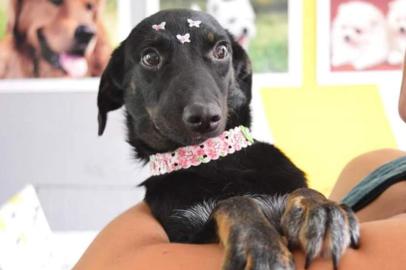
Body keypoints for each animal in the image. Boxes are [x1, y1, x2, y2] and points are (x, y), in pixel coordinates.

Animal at [97, 9, 358, 268]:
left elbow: (304, 191)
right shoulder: (187, 232)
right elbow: (235, 202)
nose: (205, 117)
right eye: (150, 57)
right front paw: (261, 243)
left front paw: (320, 210)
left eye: (221, 51)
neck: (213, 160)